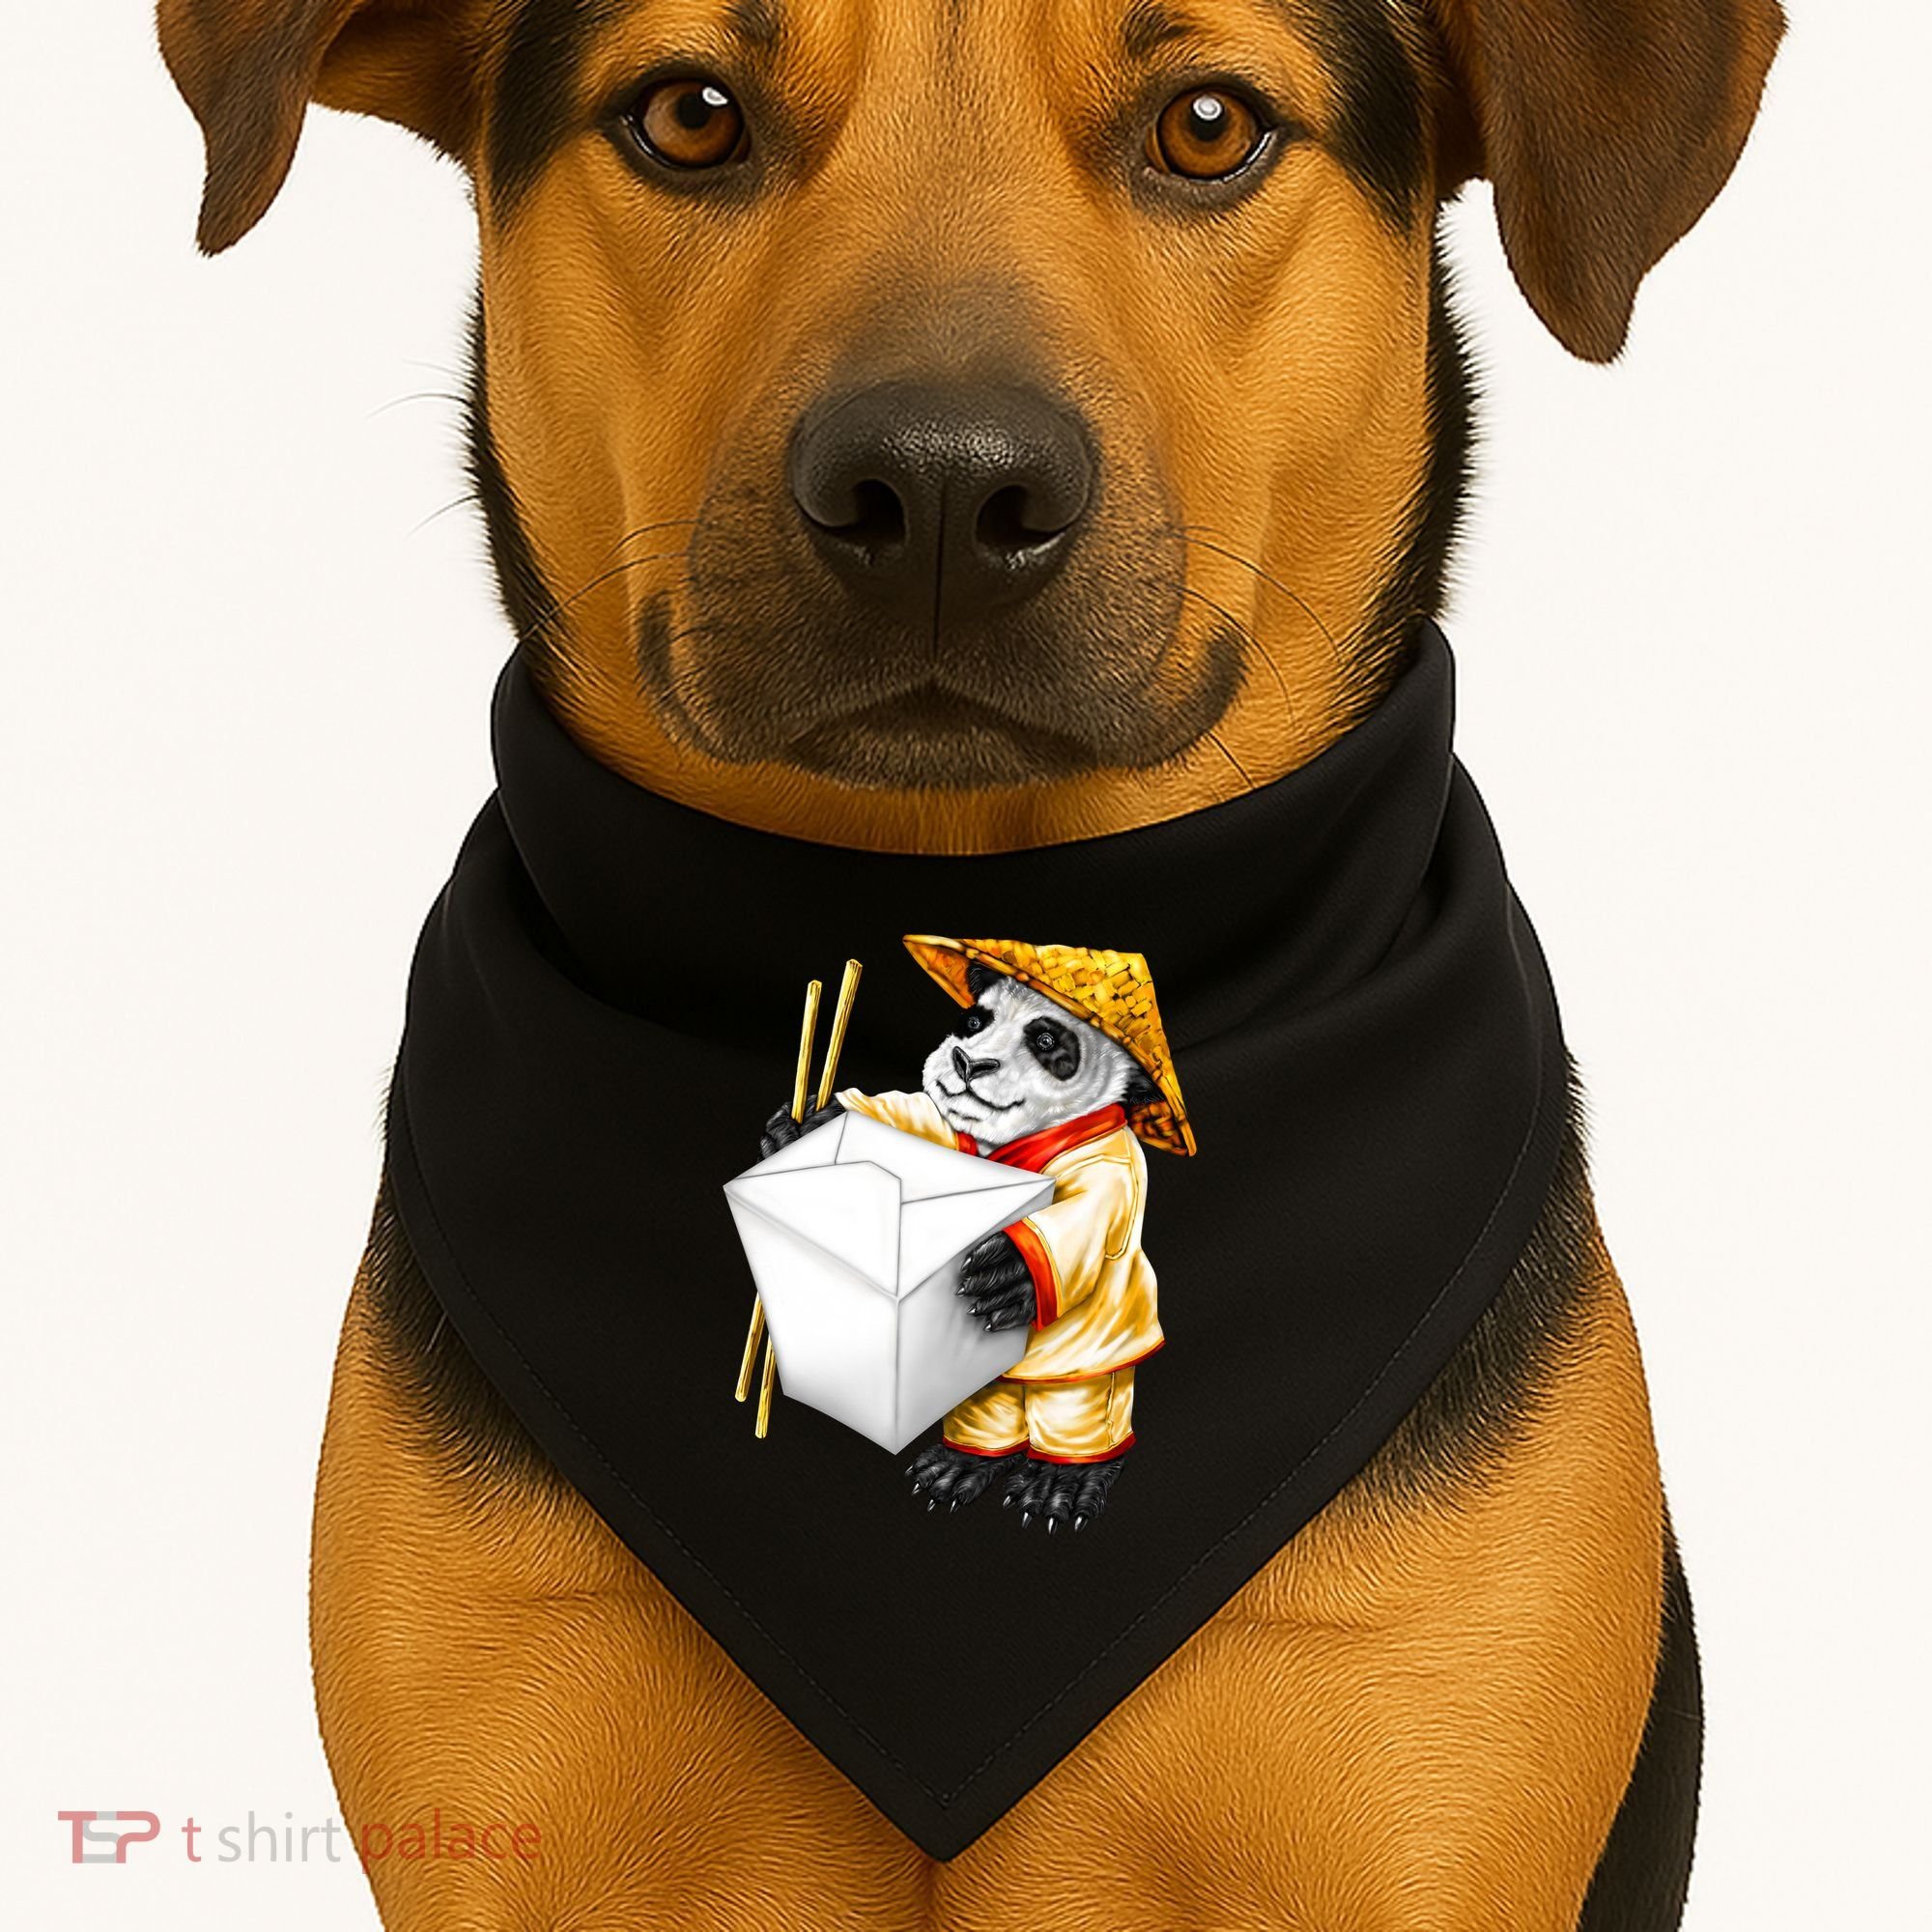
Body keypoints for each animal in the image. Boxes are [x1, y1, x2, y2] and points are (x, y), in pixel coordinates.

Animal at [761, 963, 1166, 1532]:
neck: (1008, 1146)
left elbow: (1088, 1213)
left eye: (1046, 1041)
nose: (968, 1062)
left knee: (1077, 1408)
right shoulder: (948, 1135)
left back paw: (1061, 1480)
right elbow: (911, 1117)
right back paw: (957, 1466)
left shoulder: (1106, 1158)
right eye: (974, 1021)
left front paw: (1007, 1272)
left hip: (1088, 1364)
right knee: (986, 1403)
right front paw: (805, 1128)